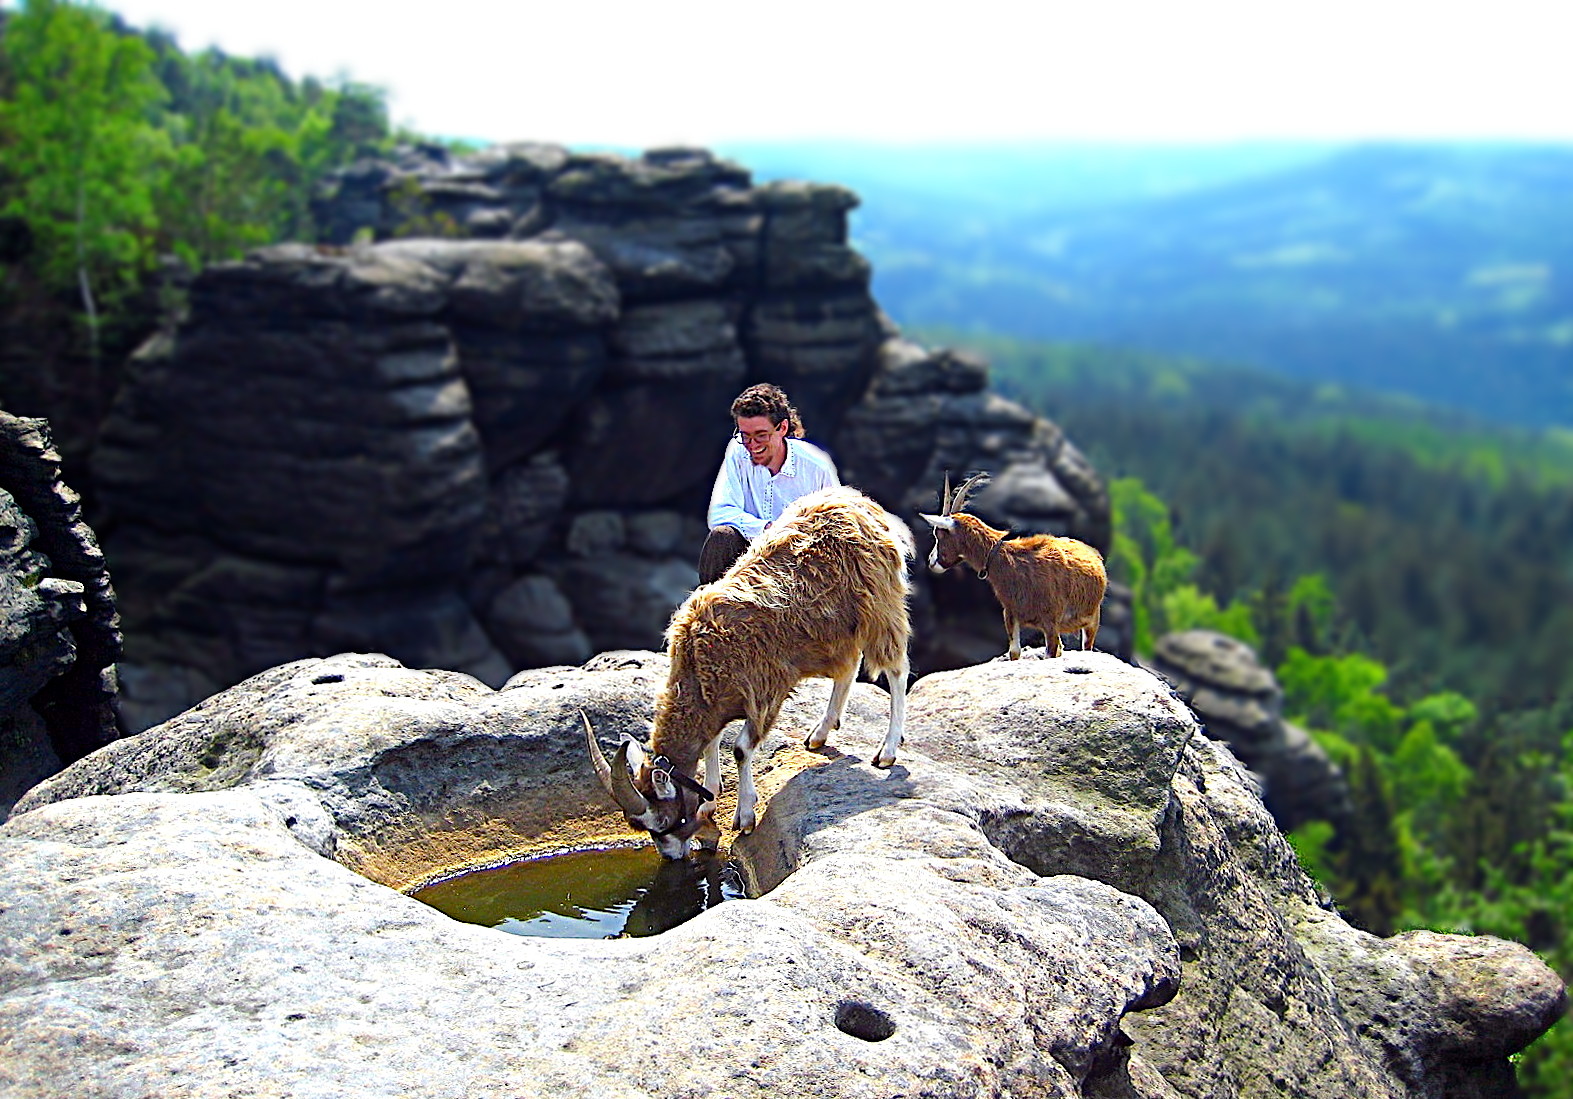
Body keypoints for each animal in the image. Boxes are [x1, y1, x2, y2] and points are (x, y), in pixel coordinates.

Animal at [588, 487, 912, 861]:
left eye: (664, 821)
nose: (671, 856)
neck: (697, 664)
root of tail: (859, 503)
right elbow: (711, 743)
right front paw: (709, 800)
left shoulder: (765, 689)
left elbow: (741, 749)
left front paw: (744, 817)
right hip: (839, 627)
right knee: (849, 666)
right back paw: (820, 732)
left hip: (880, 607)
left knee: (896, 669)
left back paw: (888, 750)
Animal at [918, 468, 1107, 657]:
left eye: (939, 534)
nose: (931, 562)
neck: (1008, 558)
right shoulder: (1011, 614)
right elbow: (1015, 652)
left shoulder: (1051, 621)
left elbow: (1050, 652)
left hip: (1091, 619)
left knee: (1086, 646)